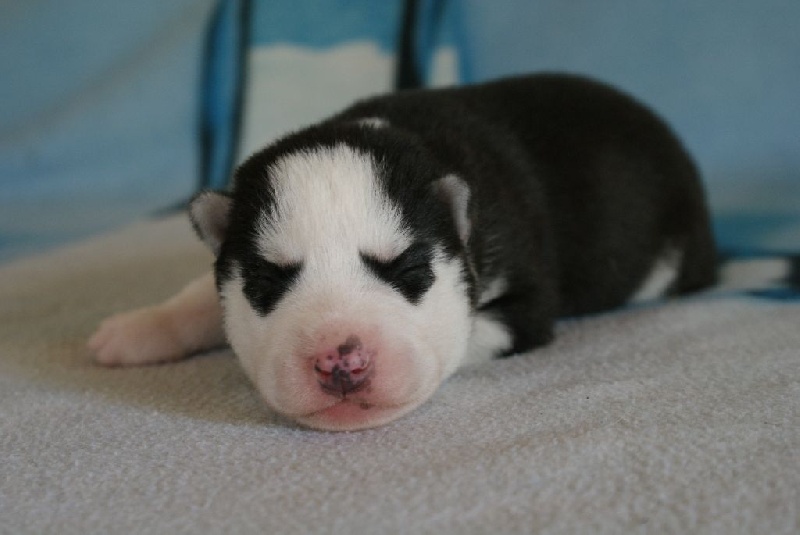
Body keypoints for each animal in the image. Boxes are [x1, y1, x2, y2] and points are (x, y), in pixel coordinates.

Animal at [88, 73, 718, 431]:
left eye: (410, 268)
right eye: (265, 283)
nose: (341, 362)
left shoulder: (529, 302)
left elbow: (467, 332)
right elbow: (200, 295)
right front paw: (137, 329)